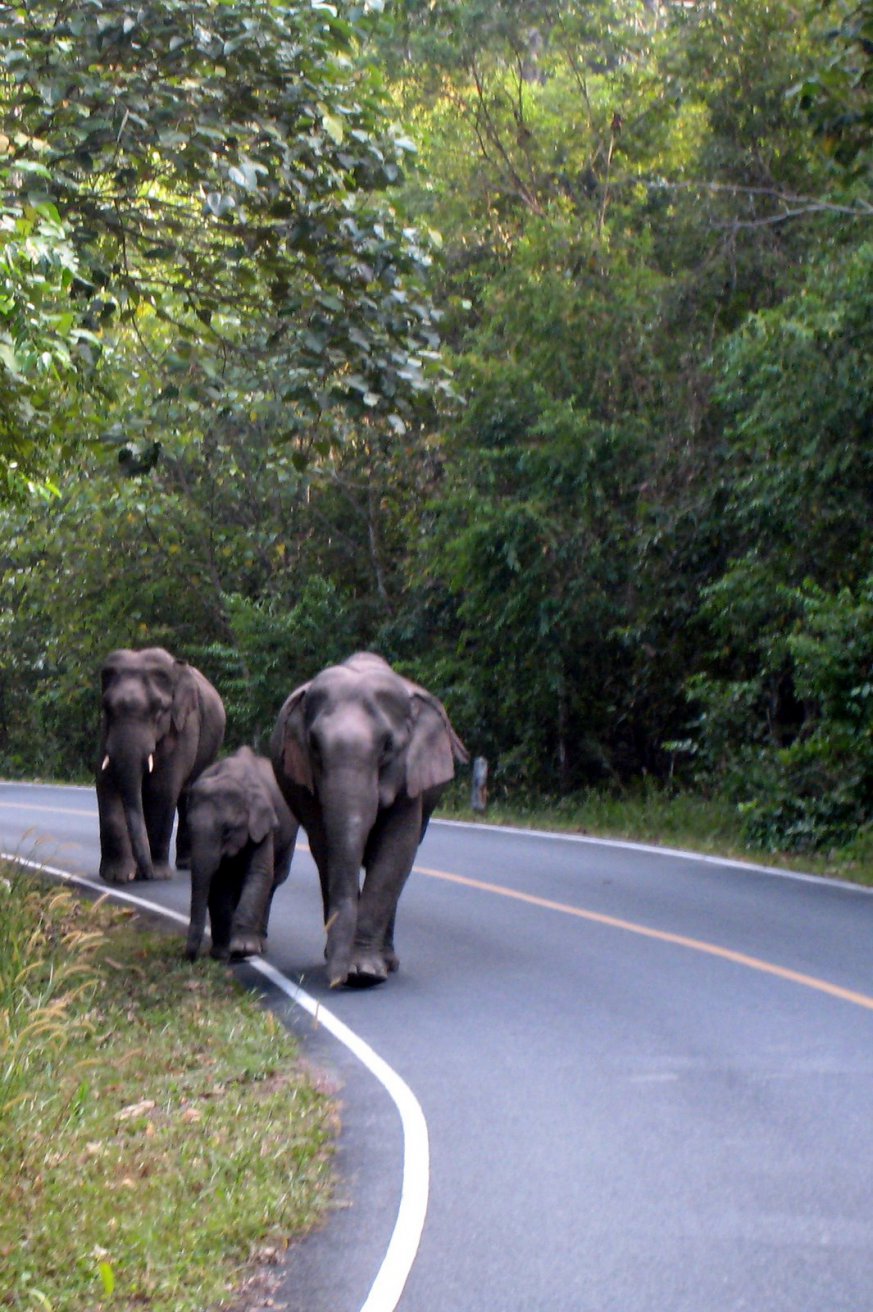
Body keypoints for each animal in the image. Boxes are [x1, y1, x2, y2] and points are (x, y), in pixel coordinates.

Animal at [96, 645, 224, 881]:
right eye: (107, 708)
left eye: (158, 710)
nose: (140, 873)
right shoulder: (105, 730)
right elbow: (106, 783)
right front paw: (117, 876)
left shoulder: (184, 726)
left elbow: (161, 789)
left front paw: (157, 875)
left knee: (188, 793)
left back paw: (186, 865)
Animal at [182, 750, 298, 965]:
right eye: (189, 826)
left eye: (227, 830)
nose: (190, 958)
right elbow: (219, 882)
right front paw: (221, 954)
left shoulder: (264, 824)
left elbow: (259, 873)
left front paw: (242, 950)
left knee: (274, 882)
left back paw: (260, 945)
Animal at [269, 650, 467, 986]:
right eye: (314, 745)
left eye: (387, 746)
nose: (337, 980)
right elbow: (326, 850)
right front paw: (348, 967)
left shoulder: (410, 776)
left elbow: (396, 852)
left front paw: (365, 973)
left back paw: (389, 962)